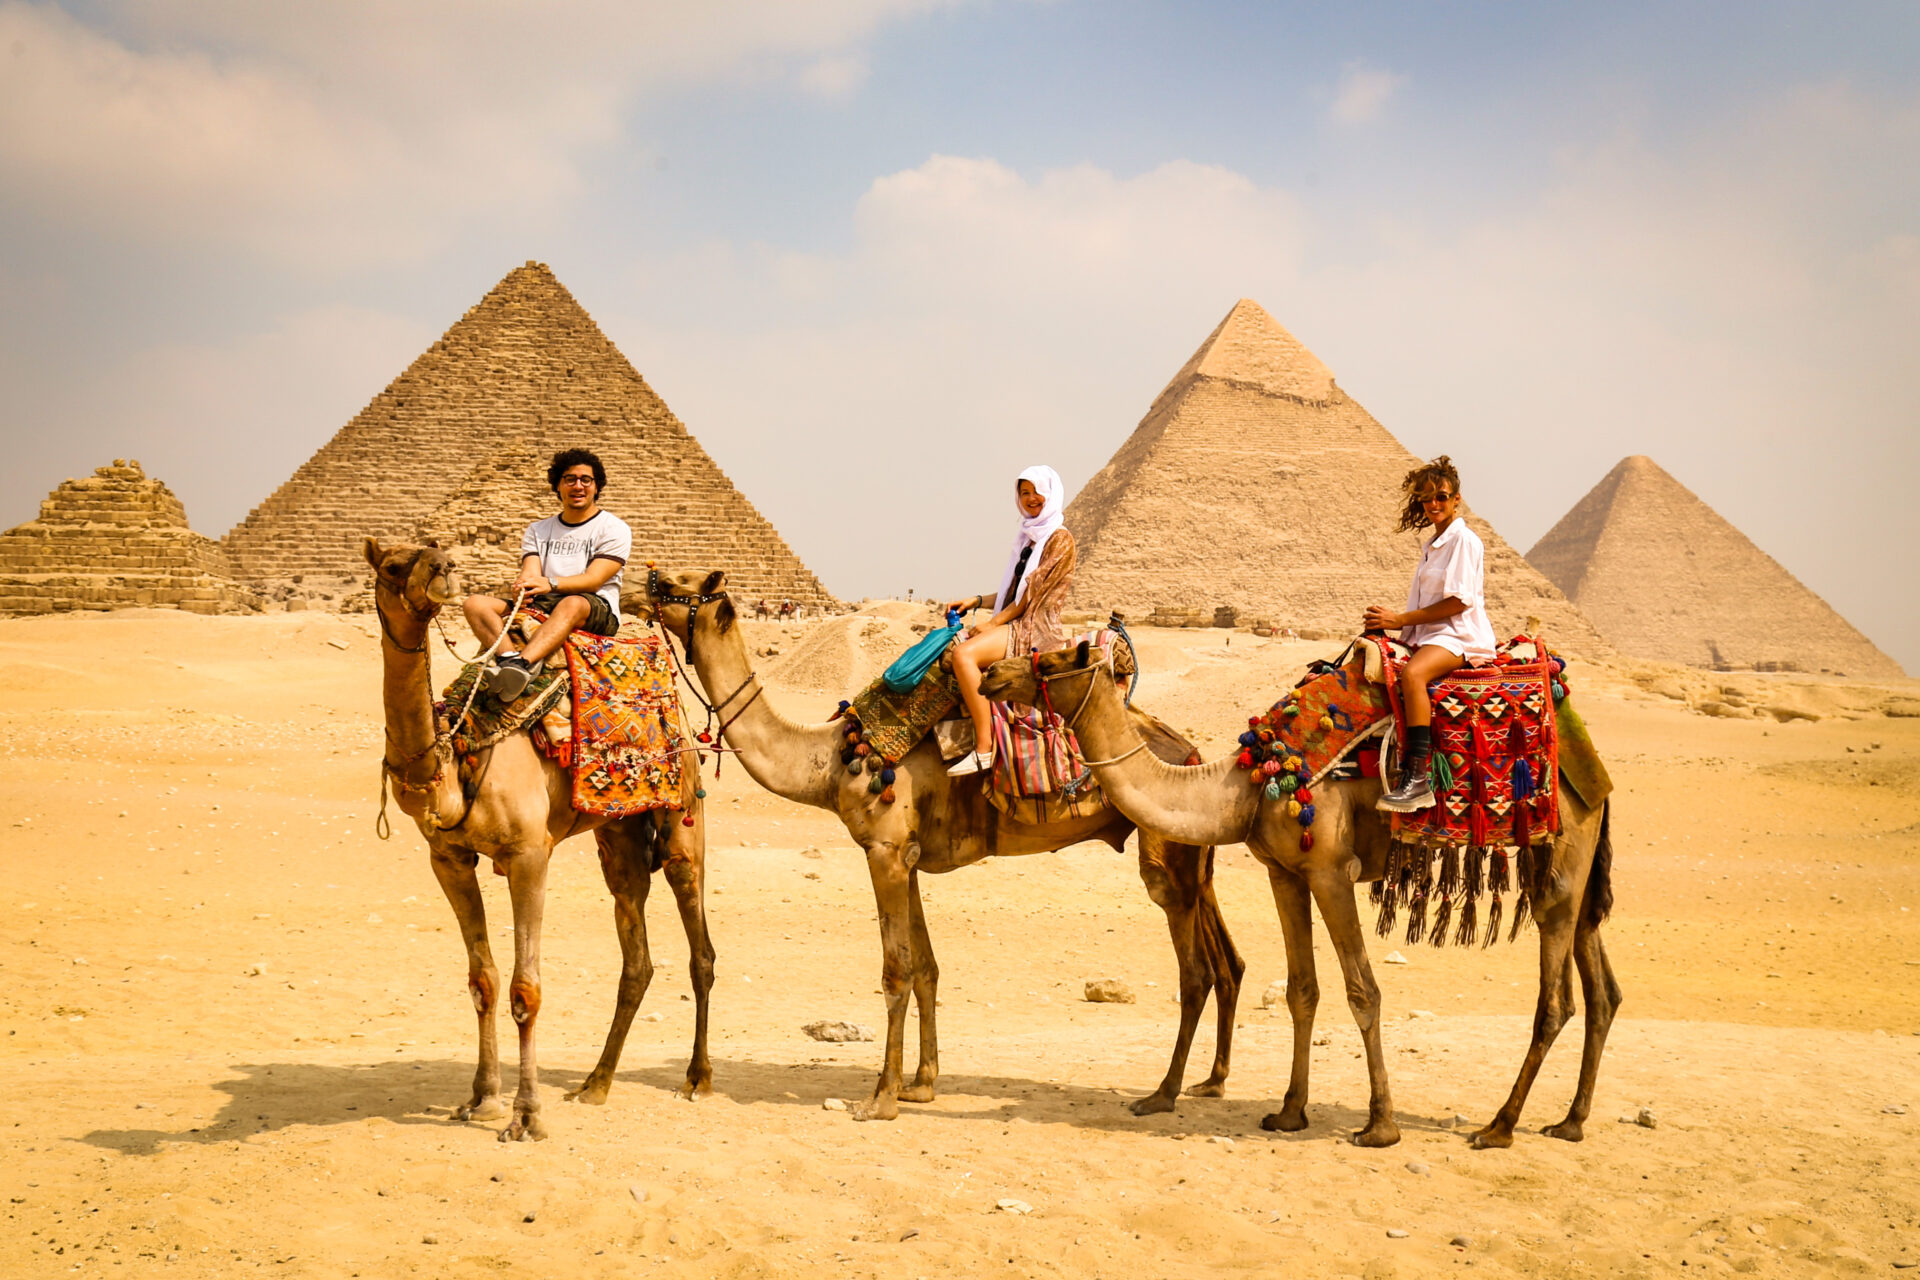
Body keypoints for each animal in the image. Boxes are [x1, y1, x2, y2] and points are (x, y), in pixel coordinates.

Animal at [362, 541, 718, 1143]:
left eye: (434, 553)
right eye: (390, 563)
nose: (444, 571)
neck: (461, 756)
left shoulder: (529, 856)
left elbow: (525, 989)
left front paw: (527, 1116)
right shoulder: (448, 859)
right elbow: (483, 980)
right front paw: (482, 1099)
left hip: (681, 812)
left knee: (700, 946)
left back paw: (697, 1078)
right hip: (618, 834)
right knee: (637, 953)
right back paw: (596, 1084)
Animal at [637, 571, 1251, 1120]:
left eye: (682, 585)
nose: (645, 582)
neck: (831, 760)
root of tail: (1193, 752)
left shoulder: (883, 851)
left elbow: (896, 972)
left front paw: (880, 1099)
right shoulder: (906, 857)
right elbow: (927, 968)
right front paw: (921, 1085)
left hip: (1165, 861)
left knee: (1194, 972)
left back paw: (1163, 1094)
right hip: (1195, 858)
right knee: (1228, 961)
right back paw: (1211, 1082)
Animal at [983, 644, 1612, 1159]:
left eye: (1056, 658)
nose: (991, 673)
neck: (1244, 786)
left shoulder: (1330, 872)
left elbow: (1363, 991)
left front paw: (1380, 1127)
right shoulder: (1283, 873)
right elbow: (1301, 990)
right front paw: (1289, 1111)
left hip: (1560, 862)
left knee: (1556, 997)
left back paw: (1499, 1126)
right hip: (1571, 869)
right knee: (1601, 989)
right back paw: (1570, 1122)